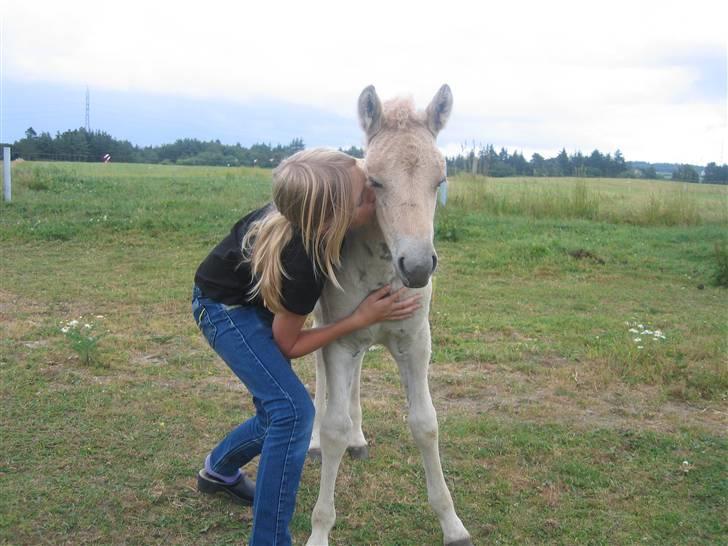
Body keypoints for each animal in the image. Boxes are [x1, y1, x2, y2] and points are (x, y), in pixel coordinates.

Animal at [306, 84, 472, 544]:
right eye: (375, 181)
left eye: (440, 180)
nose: (415, 267)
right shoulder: (339, 340)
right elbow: (333, 427)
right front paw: (319, 530)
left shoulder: (415, 342)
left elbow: (425, 424)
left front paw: (452, 524)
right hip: (321, 321)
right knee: (320, 377)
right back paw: (314, 441)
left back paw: (359, 438)